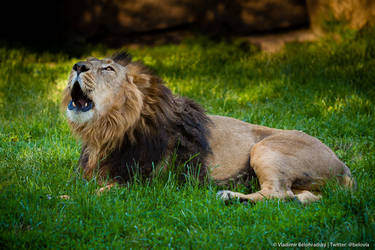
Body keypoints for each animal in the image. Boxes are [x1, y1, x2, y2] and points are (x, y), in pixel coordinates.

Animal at [61, 51, 356, 204]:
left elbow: (94, 194)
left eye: (108, 69)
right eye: (86, 61)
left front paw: (66, 202)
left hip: (265, 147)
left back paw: (229, 195)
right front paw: (58, 197)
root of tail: (343, 166)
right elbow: (75, 189)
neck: (105, 132)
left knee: (278, 192)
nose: (77, 66)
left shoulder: (144, 183)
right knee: (298, 197)